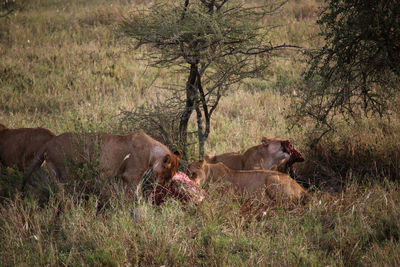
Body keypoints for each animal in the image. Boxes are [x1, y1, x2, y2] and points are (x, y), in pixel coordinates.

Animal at [22, 130, 182, 193]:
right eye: (167, 175)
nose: (167, 186)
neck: (152, 152)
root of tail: (49, 142)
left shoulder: (123, 177)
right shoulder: (131, 176)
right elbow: (134, 193)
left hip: (54, 169)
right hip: (67, 171)